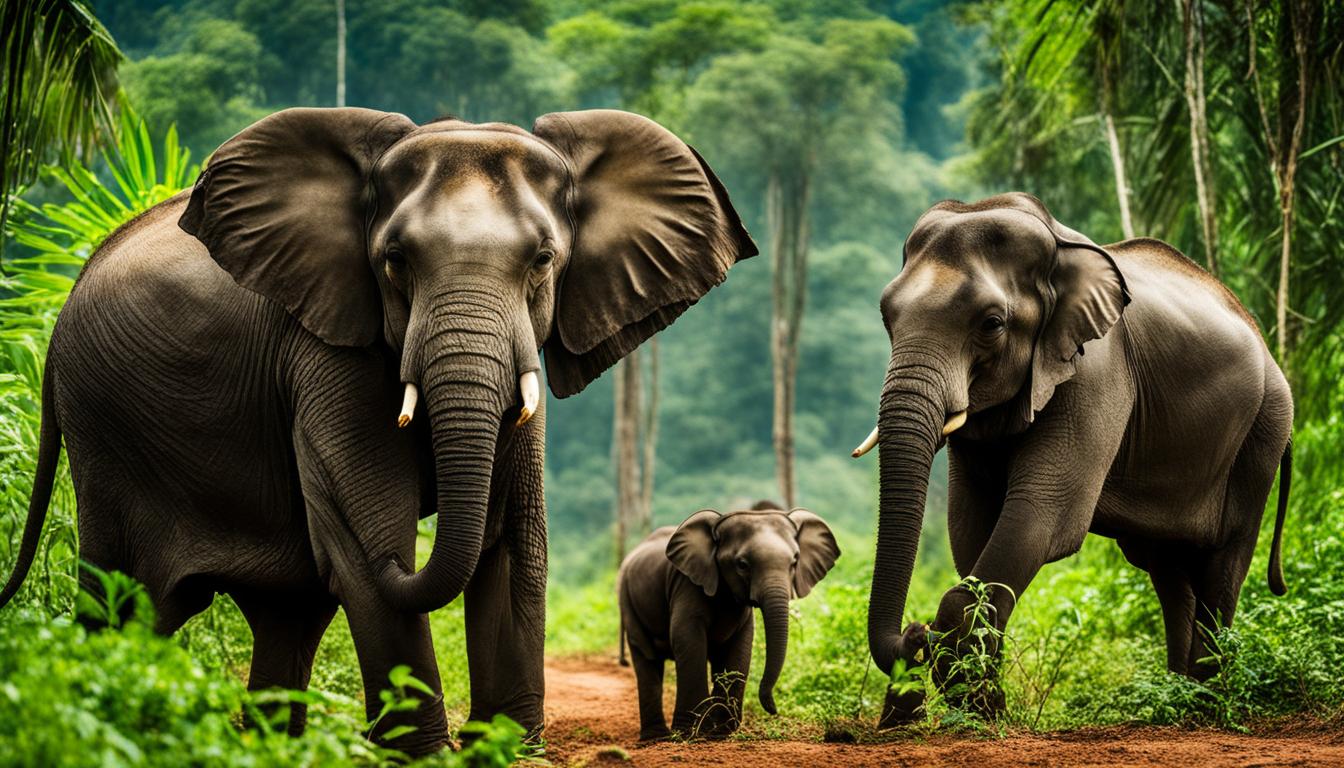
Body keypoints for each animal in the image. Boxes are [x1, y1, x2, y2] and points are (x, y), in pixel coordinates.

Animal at [0, 107, 756, 754]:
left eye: (543, 260)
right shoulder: (325, 354)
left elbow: (514, 544)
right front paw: (426, 755)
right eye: (395, 261)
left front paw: (502, 750)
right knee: (130, 603)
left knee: (286, 609)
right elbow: (367, 541)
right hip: (108, 436)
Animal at [617, 502, 839, 740]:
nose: (773, 708)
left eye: (795, 561)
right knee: (646, 655)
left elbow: (741, 645)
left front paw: (718, 732)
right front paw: (691, 734)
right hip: (627, 599)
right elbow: (688, 639)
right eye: (742, 564)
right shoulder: (685, 584)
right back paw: (656, 737)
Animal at [850, 193, 1292, 723]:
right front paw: (981, 705)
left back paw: (1206, 706)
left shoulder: (1099, 371)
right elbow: (972, 526)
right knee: (1167, 568)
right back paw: (1178, 701)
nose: (913, 635)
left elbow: (1043, 516)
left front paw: (976, 703)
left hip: (1263, 430)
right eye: (885, 317)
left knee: (1222, 561)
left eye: (992, 324)